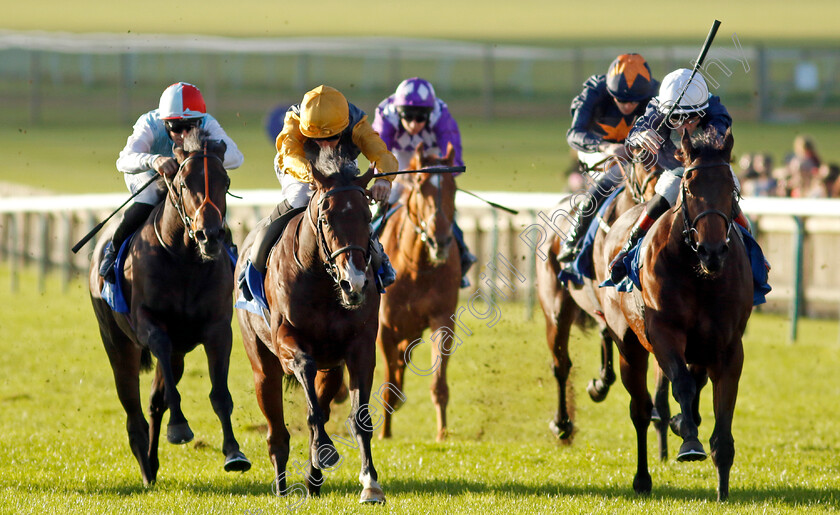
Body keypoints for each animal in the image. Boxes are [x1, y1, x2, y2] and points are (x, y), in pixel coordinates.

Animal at [91, 128, 251, 484]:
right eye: (184, 183)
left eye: (225, 181)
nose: (209, 235)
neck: (185, 260)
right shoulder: (150, 326)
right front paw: (179, 427)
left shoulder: (218, 329)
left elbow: (219, 394)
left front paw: (234, 452)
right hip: (117, 344)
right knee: (132, 407)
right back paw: (144, 463)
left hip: (178, 353)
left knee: (154, 402)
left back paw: (152, 462)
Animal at [233, 148, 384, 504]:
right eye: (326, 219)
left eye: (367, 217)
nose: (354, 283)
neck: (322, 282)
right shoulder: (287, 341)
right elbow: (307, 387)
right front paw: (325, 448)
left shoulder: (360, 347)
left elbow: (360, 418)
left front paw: (370, 483)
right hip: (262, 367)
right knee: (276, 432)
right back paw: (282, 486)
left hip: (332, 369)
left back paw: (314, 479)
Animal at [378, 143, 460, 442]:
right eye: (421, 185)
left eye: (453, 188)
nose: (440, 240)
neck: (417, 268)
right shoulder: (384, 327)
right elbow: (388, 381)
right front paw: (384, 434)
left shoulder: (442, 319)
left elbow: (438, 382)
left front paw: (442, 433)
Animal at [600, 127, 752, 502]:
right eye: (688, 186)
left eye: (731, 189)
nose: (713, 251)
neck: (699, 275)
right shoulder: (663, 333)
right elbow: (680, 384)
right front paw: (689, 440)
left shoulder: (729, 347)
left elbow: (722, 420)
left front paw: (722, 488)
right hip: (629, 346)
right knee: (640, 410)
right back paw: (643, 478)